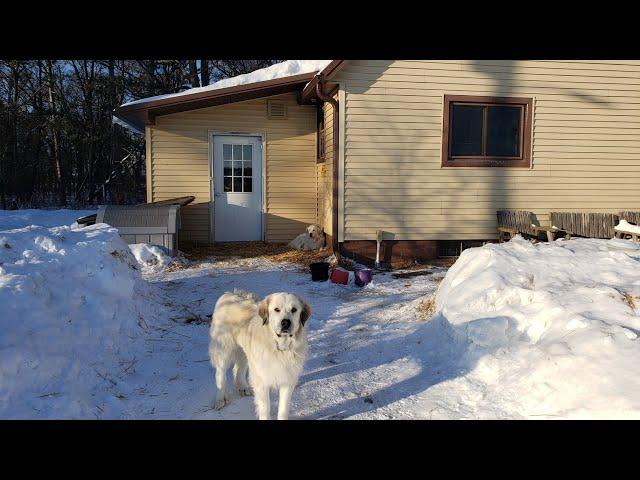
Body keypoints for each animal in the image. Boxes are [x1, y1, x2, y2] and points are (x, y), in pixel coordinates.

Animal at [209, 288, 312, 420]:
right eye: (276, 309)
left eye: (294, 309)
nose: (285, 322)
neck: (279, 347)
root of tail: (229, 294)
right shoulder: (262, 381)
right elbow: (265, 409)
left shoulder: (287, 380)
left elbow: (283, 409)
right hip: (224, 350)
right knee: (220, 374)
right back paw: (220, 400)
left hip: (245, 352)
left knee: (239, 368)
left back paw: (243, 387)